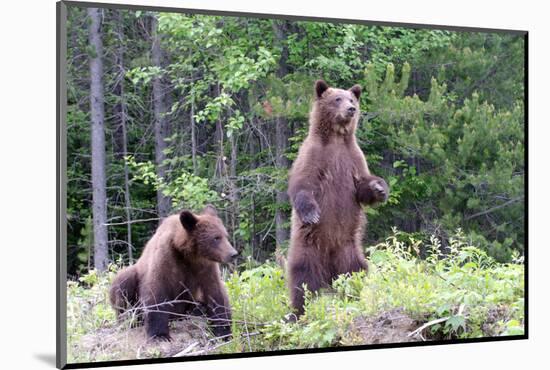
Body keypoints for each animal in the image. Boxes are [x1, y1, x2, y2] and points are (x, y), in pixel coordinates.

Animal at [109, 205, 238, 342]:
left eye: (225, 235)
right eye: (216, 238)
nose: (233, 254)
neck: (187, 254)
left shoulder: (205, 267)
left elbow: (215, 293)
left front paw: (223, 331)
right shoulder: (164, 259)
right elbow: (156, 292)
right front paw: (160, 335)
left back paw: (198, 310)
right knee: (124, 282)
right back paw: (131, 318)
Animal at [286, 79, 390, 316]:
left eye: (351, 99)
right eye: (337, 99)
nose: (351, 109)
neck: (336, 138)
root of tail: (329, 272)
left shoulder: (353, 158)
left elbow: (362, 187)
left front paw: (379, 188)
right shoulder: (314, 156)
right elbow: (302, 185)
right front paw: (312, 213)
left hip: (349, 250)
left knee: (356, 271)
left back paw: (353, 298)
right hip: (308, 248)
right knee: (303, 278)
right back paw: (297, 312)